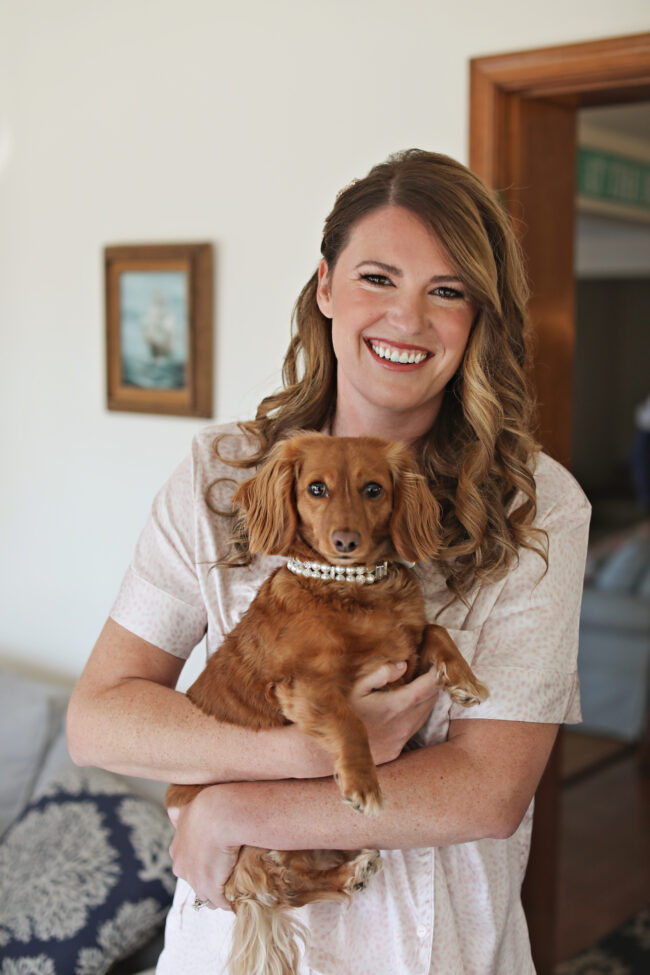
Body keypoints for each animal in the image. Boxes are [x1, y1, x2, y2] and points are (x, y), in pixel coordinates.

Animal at [165, 432, 488, 975]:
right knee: (285, 887)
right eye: (316, 488)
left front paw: (465, 678)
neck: (350, 587)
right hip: (252, 846)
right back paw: (345, 873)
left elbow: (436, 631)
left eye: (373, 489)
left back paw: (352, 871)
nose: (345, 542)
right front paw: (363, 782)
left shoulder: (402, 653)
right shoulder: (304, 685)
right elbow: (348, 720)